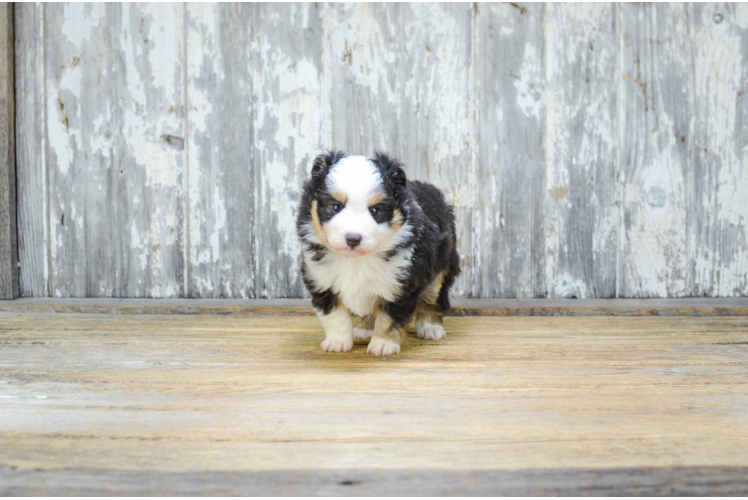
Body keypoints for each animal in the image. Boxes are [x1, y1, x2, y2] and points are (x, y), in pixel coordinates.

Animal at [296, 151, 458, 356]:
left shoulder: (400, 283)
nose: (353, 238)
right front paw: (337, 342)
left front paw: (383, 344)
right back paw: (365, 328)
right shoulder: (322, 281)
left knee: (431, 299)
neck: (356, 260)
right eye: (336, 207)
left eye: (375, 210)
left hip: (440, 267)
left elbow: (389, 317)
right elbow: (335, 315)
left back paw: (431, 328)